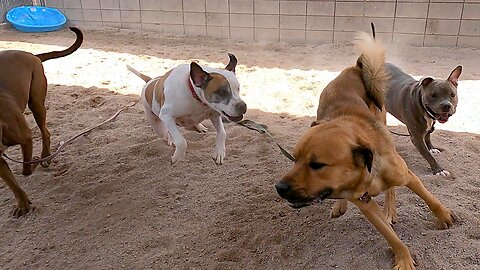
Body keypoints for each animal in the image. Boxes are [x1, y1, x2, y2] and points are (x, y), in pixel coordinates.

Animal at [0, 26, 82, 217]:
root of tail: (32, 55)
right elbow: (13, 184)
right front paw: (22, 204)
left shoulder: (26, 138)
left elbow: (26, 171)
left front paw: (35, 161)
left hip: (36, 102)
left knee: (46, 132)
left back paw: (45, 156)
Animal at [276, 32, 456, 268]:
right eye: (294, 159)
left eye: (317, 165)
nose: (279, 188)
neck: (365, 173)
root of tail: (354, 69)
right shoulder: (365, 204)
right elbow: (390, 235)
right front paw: (403, 257)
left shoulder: (409, 177)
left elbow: (430, 199)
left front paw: (444, 217)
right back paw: (341, 205)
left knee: (392, 188)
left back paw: (390, 209)